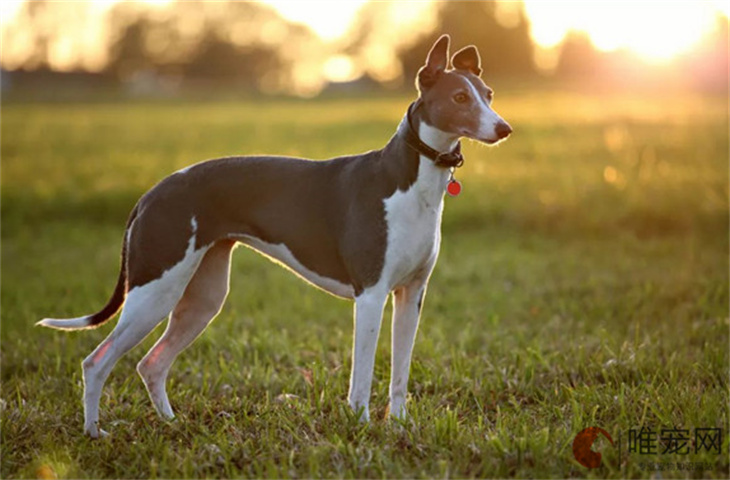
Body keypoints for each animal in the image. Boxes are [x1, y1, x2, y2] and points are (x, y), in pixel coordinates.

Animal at [37, 35, 510, 436]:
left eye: (488, 95)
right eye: (459, 97)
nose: (504, 128)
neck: (409, 179)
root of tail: (151, 193)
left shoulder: (411, 296)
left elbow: (399, 374)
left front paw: (398, 426)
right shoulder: (371, 295)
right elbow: (361, 374)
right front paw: (359, 426)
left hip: (201, 297)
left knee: (151, 364)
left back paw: (171, 424)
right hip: (155, 290)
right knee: (96, 361)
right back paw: (94, 432)